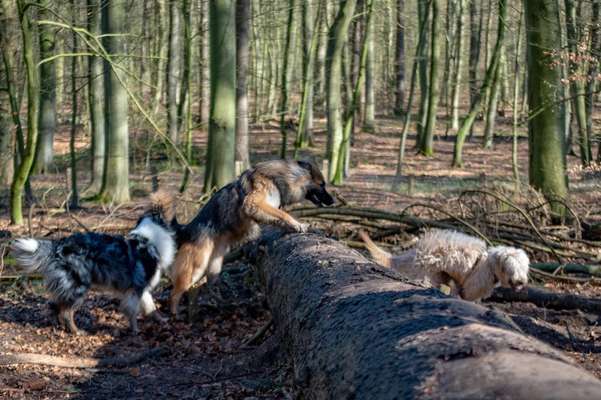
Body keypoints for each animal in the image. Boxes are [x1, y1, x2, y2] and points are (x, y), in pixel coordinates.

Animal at [10, 192, 176, 336]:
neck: (150, 237)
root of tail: (58, 244)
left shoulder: (141, 289)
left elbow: (151, 307)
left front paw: (162, 320)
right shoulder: (137, 288)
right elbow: (133, 311)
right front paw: (135, 330)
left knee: (55, 305)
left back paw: (61, 327)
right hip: (79, 286)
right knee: (66, 311)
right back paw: (76, 331)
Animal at [169, 159, 336, 312]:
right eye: (322, 184)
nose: (333, 201)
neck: (278, 179)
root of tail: (188, 227)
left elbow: (279, 215)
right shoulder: (253, 203)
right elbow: (283, 214)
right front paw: (298, 225)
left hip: (214, 265)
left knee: (206, 285)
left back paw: (221, 302)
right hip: (197, 265)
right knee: (176, 291)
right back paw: (175, 313)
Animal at [358, 228, 528, 300]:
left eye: (524, 268)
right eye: (512, 268)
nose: (521, 281)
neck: (488, 265)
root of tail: (416, 250)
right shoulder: (470, 287)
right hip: (431, 274)